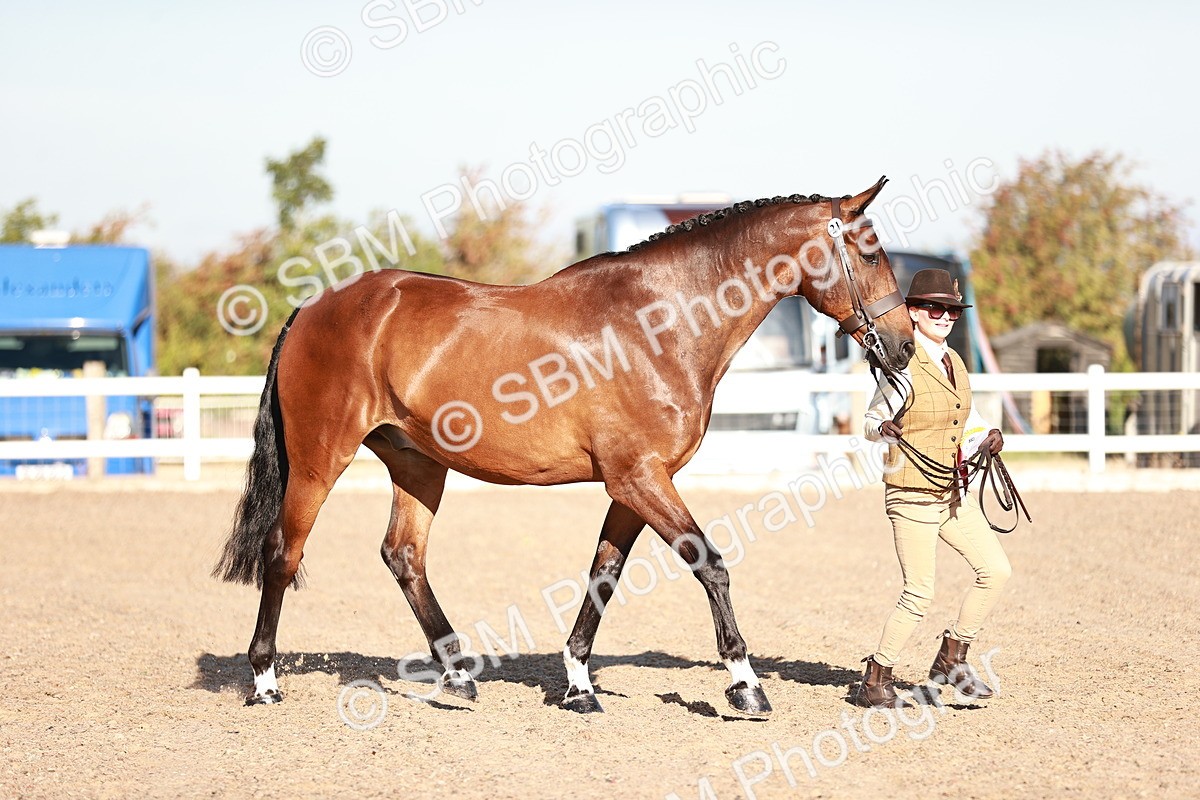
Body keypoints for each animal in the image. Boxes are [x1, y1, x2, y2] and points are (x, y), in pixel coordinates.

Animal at [213, 176, 915, 716]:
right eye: (871, 254)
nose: (906, 345)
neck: (660, 323)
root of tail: (311, 308)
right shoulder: (640, 479)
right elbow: (709, 563)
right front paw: (746, 686)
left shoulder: (633, 486)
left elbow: (604, 575)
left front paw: (579, 686)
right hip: (319, 462)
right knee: (282, 553)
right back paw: (265, 681)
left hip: (418, 463)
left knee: (403, 555)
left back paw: (458, 676)